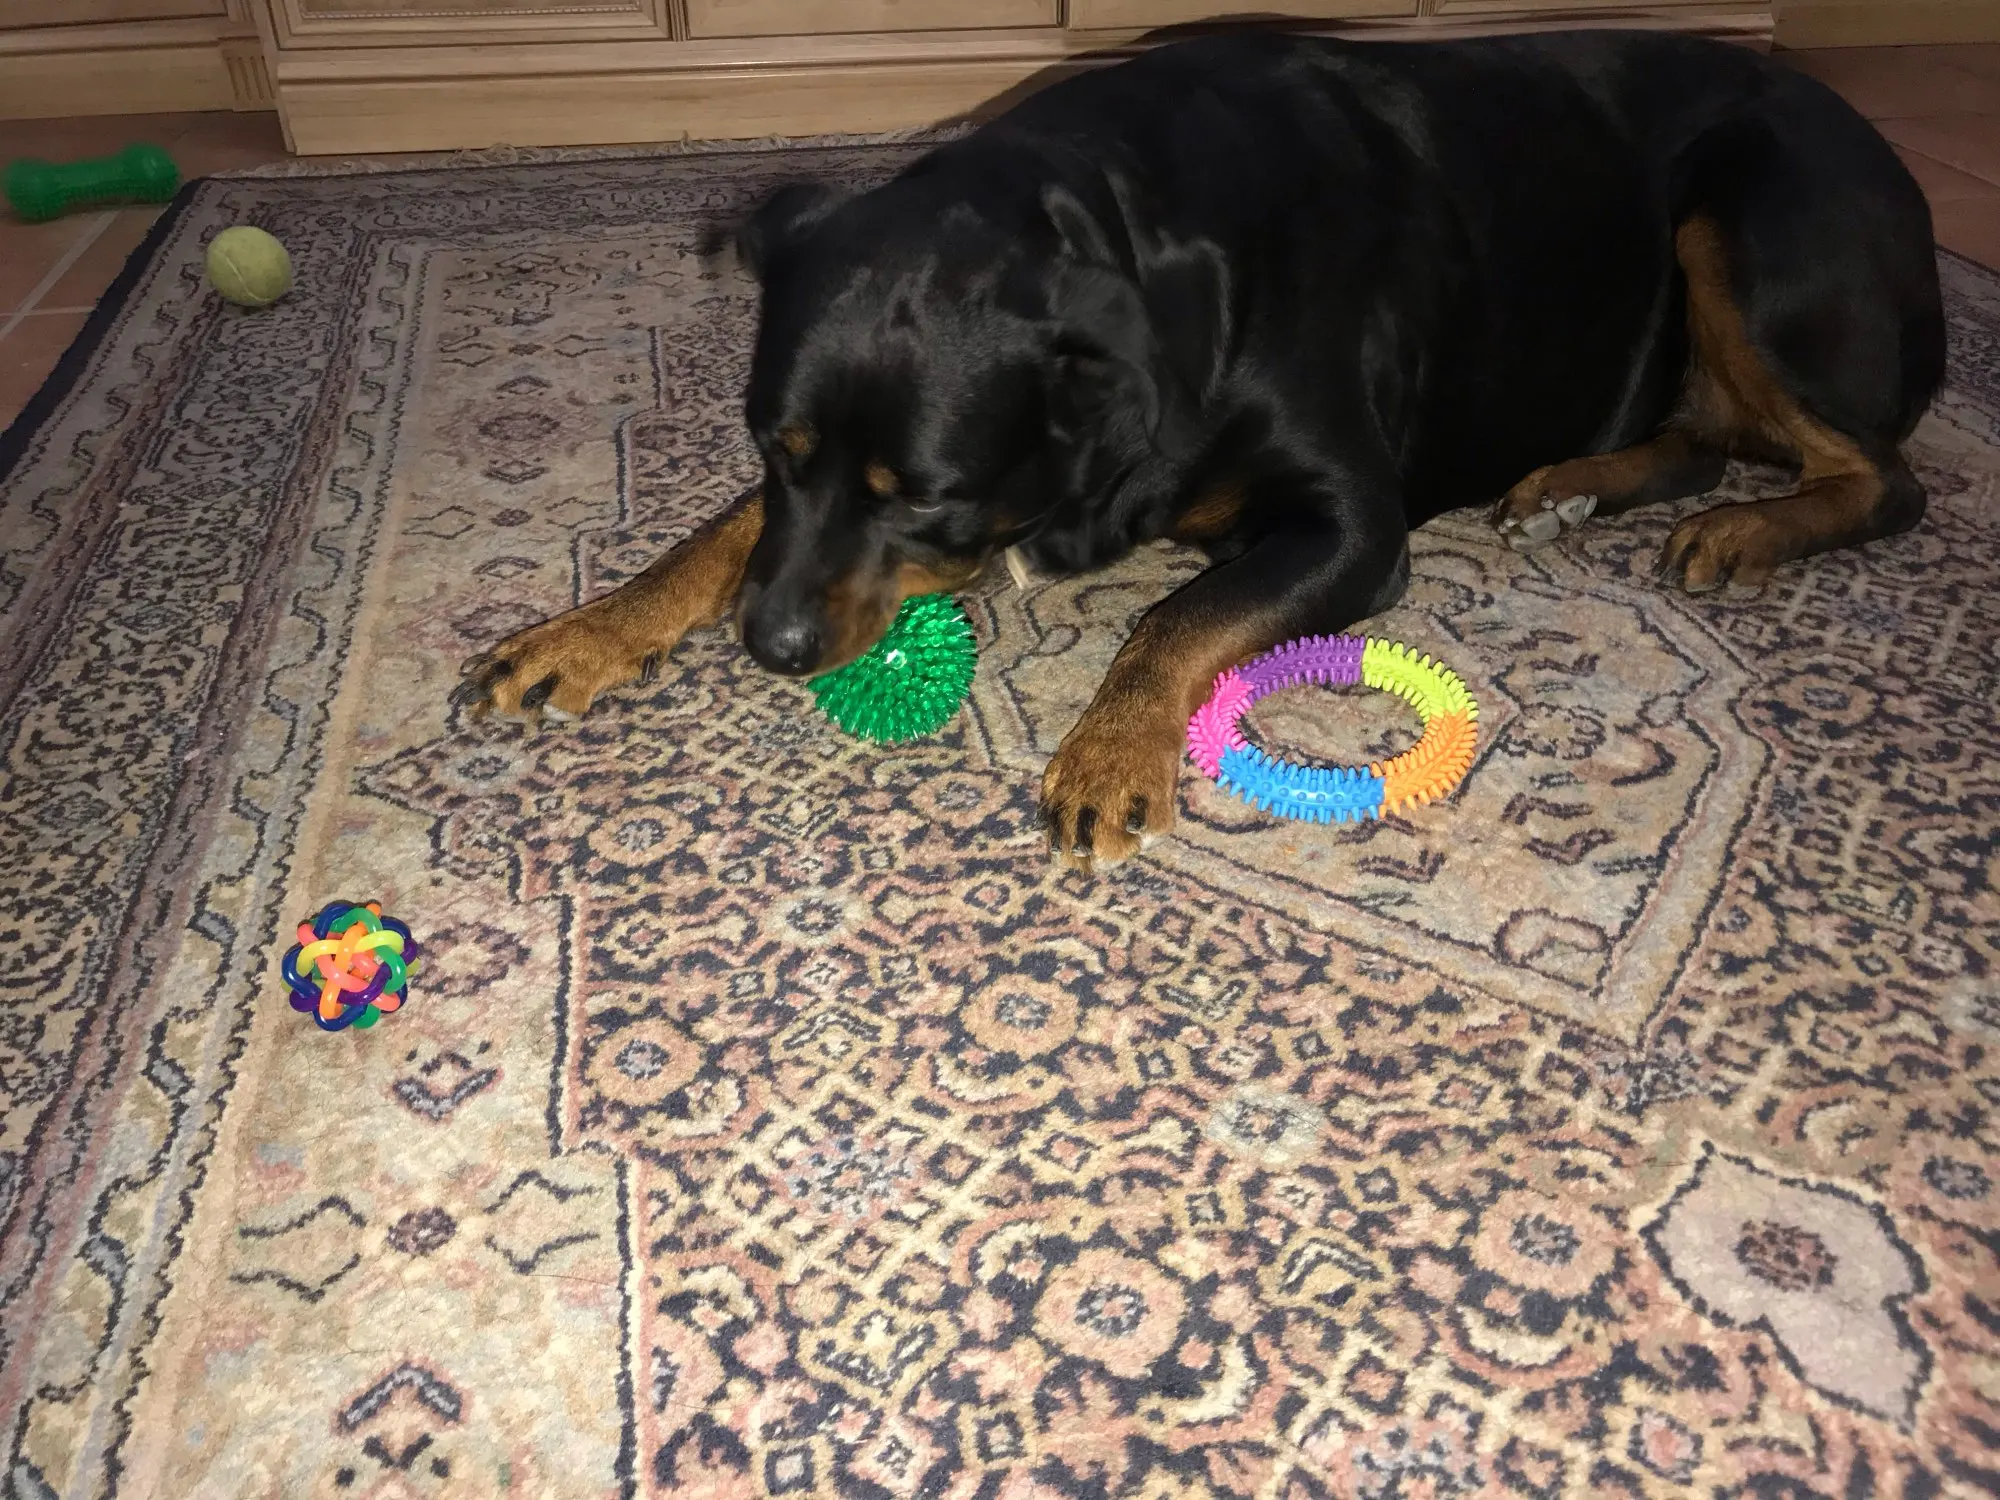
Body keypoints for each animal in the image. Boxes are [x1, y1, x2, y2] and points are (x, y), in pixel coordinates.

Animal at [454, 28, 1944, 872]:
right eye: (773, 444)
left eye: (927, 498)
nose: (767, 650)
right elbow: (718, 535)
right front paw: (588, 630)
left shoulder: (1351, 524)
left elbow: (1175, 618)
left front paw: (1112, 751)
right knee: (1700, 434)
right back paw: (1584, 487)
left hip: (1744, 215)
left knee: (1877, 475)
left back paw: (1746, 528)